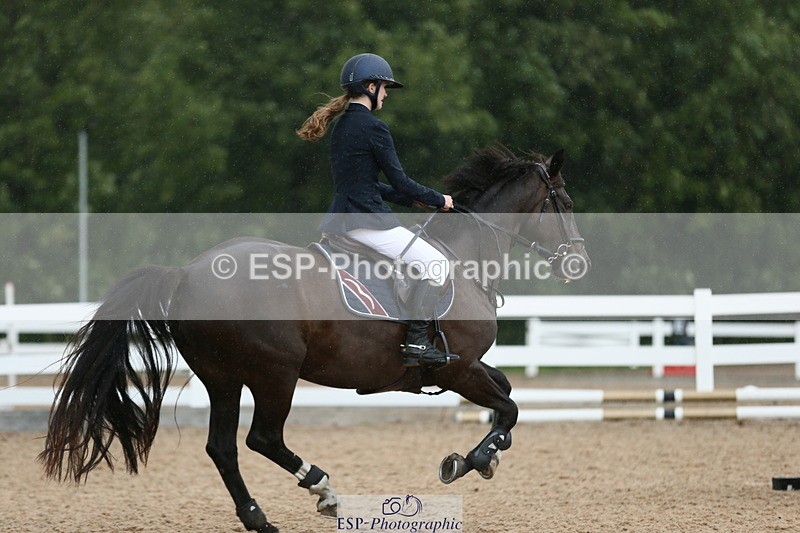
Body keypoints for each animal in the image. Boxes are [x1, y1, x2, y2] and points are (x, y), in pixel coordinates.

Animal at [39, 145, 590, 533]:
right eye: (563, 202)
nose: (578, 263)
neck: (465, 258)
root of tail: (186, 274)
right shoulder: (457, 367)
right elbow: (510, 406)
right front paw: (470, 461)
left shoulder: (465, 368)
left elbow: (508, 397)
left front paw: (487, 454)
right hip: (275, 373)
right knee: (262, 438)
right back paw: (324, 490)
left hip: (222, 377)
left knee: (222, 447)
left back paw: (258, 517)